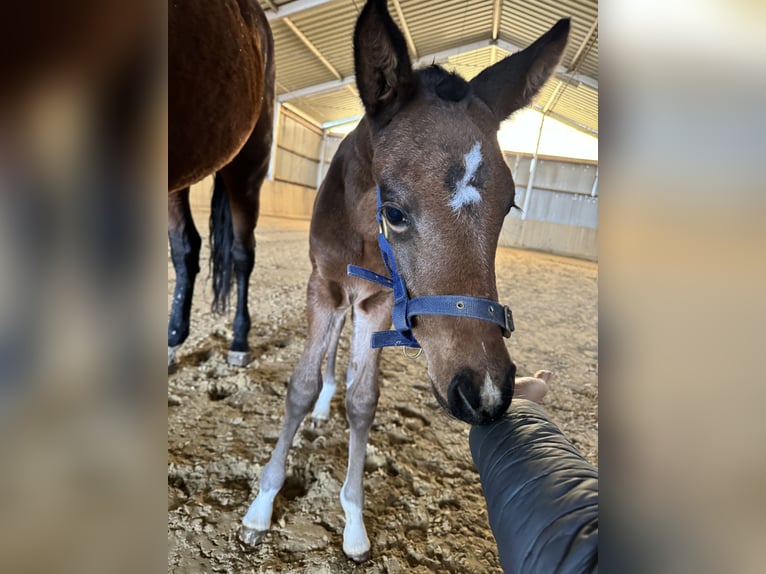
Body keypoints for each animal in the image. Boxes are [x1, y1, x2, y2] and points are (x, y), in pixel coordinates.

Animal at [242, 0, 569, 562]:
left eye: (509, 206)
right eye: (393, 212)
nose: (485, 393)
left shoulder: (378, 304)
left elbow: (363, 400)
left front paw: (353, 520)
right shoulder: (323, 288)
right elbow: (300, 386)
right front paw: (261, 506)